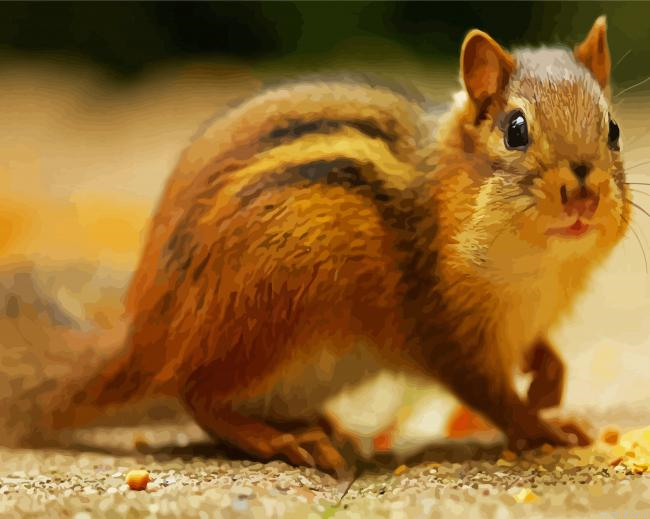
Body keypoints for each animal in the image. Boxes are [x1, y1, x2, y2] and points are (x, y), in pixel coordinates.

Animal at [43, 16, 629, 474]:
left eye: (615, 130)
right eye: (515, 130)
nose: (584, 191)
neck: (542, 272)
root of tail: (144, 337)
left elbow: (540, 352)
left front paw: (549, 383)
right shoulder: (445, 326)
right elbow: (488, 393)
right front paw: (540, 425)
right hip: (266, 318)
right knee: (197, 394)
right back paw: (281, 440)